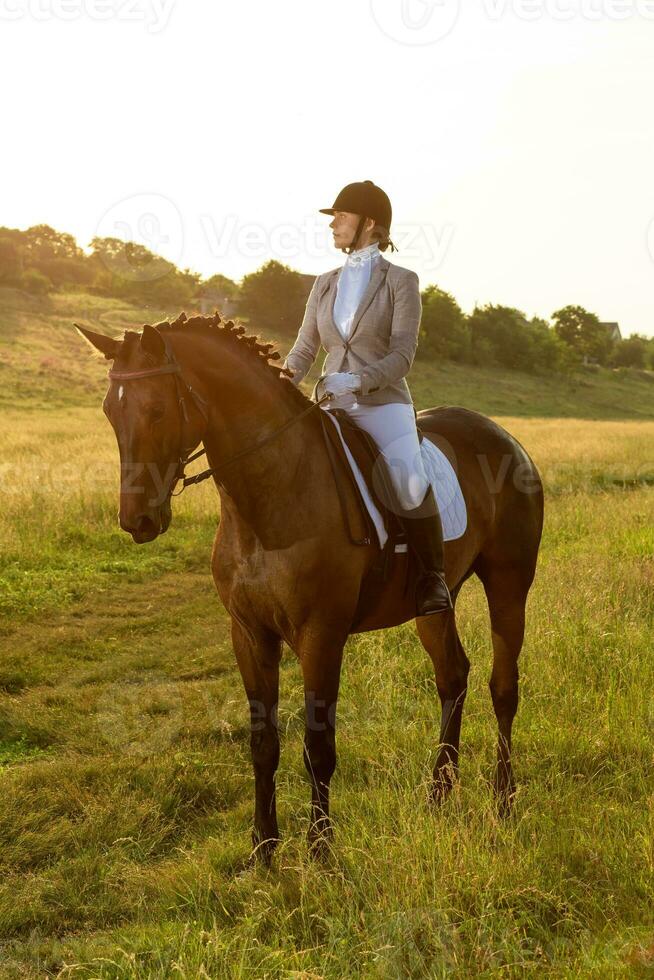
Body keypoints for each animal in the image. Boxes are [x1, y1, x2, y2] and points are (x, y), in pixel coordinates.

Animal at [77, 310, 544, 860]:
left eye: (154, 409)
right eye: (110, 411)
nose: (138, 521)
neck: (271, 494)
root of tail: (503, 436)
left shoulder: (321, 636)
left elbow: (318, 746)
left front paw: (320, 850)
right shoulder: (250, 634)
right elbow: (263, 742)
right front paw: (263, 848)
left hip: (509, 585)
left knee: (503, 687)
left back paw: (503, 800)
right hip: (434, 603)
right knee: (453, 676)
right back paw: (438, 797)